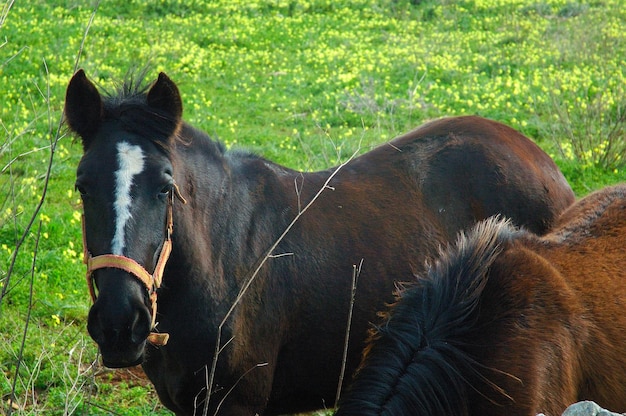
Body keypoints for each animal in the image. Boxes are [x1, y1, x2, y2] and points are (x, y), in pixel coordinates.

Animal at [66, 70, 572, 414]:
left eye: (165, 188)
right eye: (82, 186)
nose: (119, 322)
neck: (224, 261)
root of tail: (543, 161)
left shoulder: (236, 403)